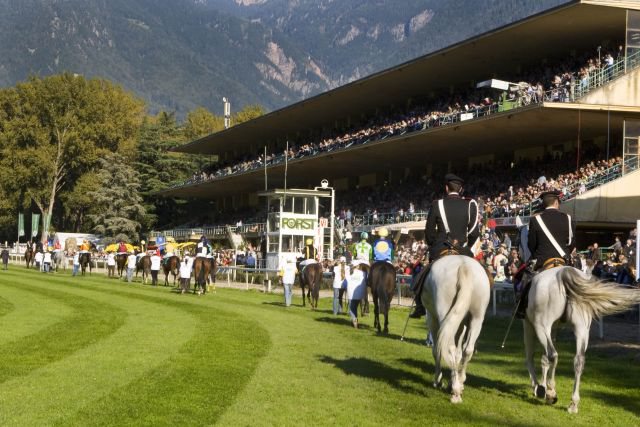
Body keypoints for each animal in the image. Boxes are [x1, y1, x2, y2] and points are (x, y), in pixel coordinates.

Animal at [524, 268, 640, 414]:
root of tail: (563, 272)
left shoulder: (528, 324)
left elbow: (532, 356)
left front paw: (539, 387)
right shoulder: (553, 328)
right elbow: (544, 359)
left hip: (541, 326)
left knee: (552, 355)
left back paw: (549, 392)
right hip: (582, 328)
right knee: (578, 360)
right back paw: (573, 403)